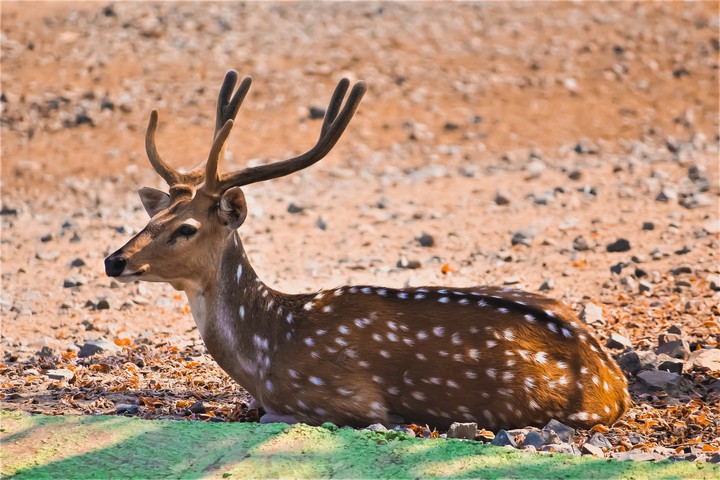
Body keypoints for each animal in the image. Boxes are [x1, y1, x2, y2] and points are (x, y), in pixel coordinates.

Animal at [105, 70, 630, 430]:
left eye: (186, 228)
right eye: (151, 219)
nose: (114, 260)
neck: (267, 353)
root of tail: (616, 385)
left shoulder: (343, 399)